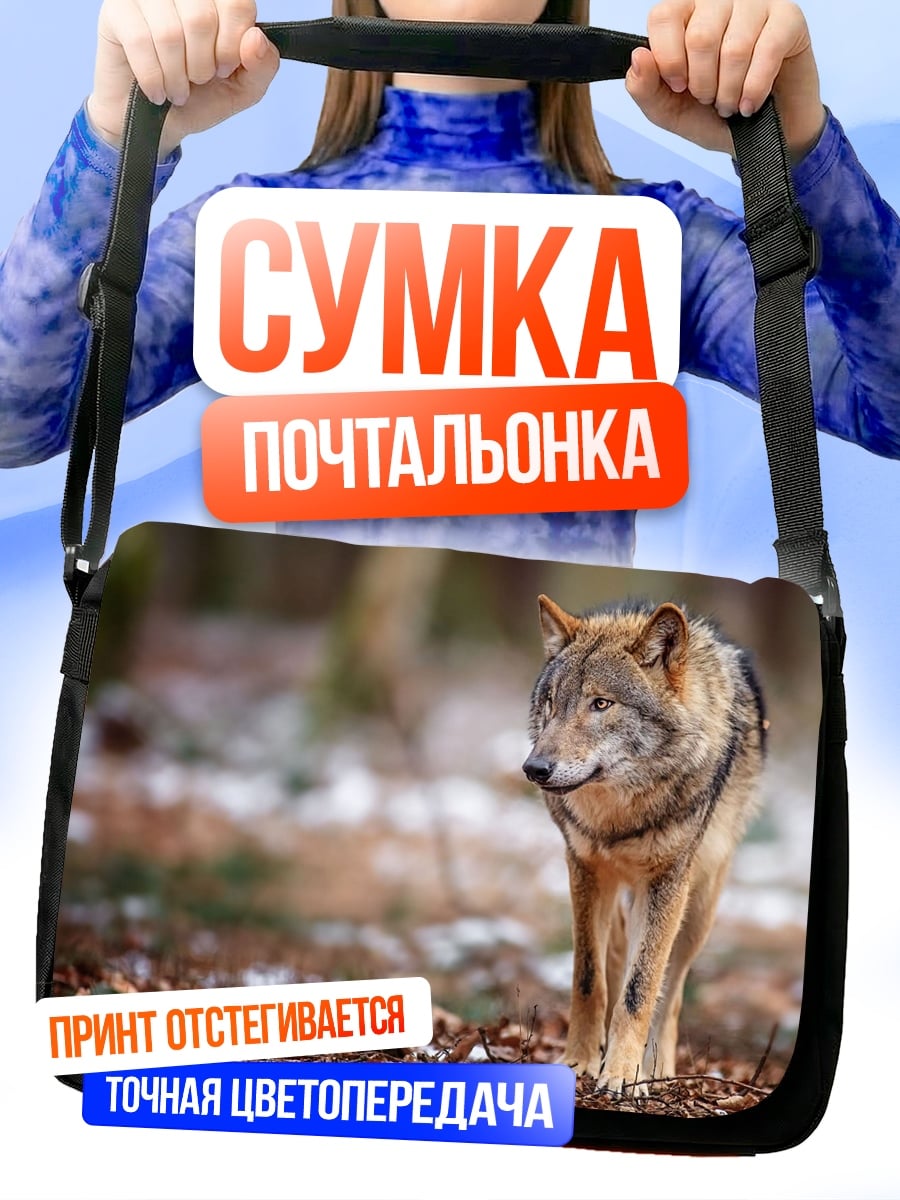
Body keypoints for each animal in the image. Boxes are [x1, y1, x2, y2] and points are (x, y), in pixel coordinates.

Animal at [523, 595, 766, 1096]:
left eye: (601, 704)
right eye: (552, 703)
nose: (534, 768)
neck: (620, 816)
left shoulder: (667, 881)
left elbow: (642, 989)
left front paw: (622, 1074)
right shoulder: (583, 867)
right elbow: (588, 978)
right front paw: (579, 1061)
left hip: (696, 909)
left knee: (669, 991)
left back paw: (657, 1068)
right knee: (615, 959)